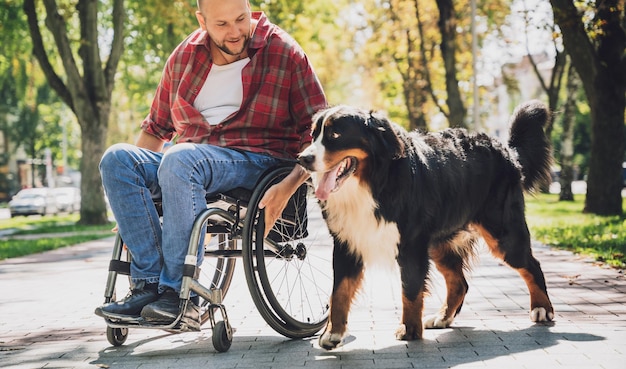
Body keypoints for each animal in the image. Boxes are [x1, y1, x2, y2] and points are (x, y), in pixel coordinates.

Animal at [298, 100, 552, 348]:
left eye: (335, 134)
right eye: (313, 134)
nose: (302, 159)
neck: (371, 184)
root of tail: (506, 150)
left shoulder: (411, 244)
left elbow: (410, 289)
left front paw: (409, 329)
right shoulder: (347, 242)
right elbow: (339, 292)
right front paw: (333, 333)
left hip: (503, 235)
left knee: (533, 265)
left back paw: (542, 309)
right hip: (440, 244)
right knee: (459, 283)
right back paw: (442, 317)